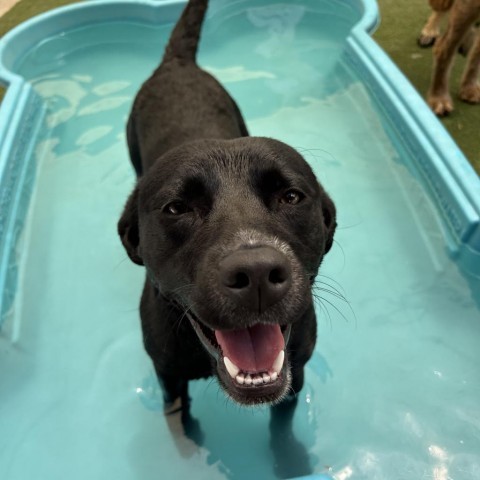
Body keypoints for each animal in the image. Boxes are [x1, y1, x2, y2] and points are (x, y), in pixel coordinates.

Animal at [118, 0, 336, 412]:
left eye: (291, 196)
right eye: (176, 208)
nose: (256, 273)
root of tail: (177, 63)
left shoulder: (295, 376)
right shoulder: (169, 378)